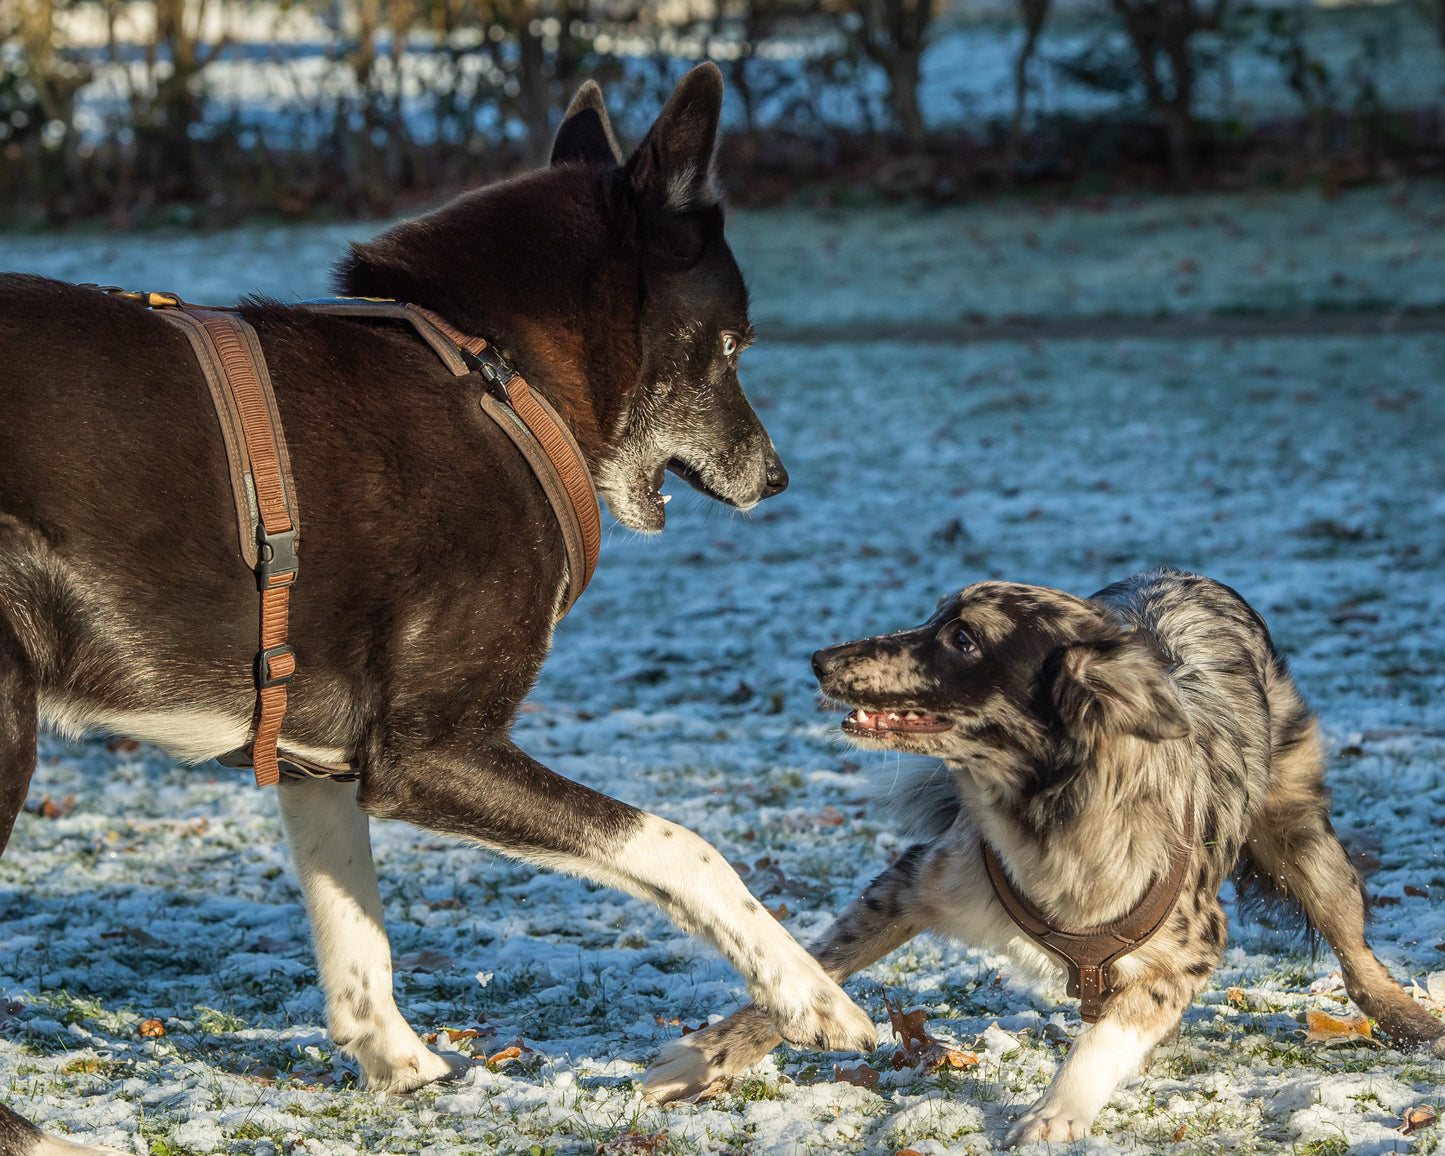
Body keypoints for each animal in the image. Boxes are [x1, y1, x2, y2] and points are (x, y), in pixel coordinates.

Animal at [0, 65, 872, 1156]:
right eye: (729, 345)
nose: (777, 477)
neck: (496, 372)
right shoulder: (432, 753)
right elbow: (681, 843)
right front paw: (809, 993)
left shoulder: (322, 758)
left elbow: (355, 931)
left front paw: (401, 1066)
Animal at [647, 563, 1445, 1144]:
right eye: (934, 617)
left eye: (963, 638)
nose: (819, 659)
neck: (1050, 816)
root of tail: (1184, 574)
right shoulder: (917, 881)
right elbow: (811, 963)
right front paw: (708, 1052)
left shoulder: (1189, 950)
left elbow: (1108, 1035)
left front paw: (1057, 1110)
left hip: (1304, 844)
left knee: (1355, 956)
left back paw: (1409, 1019)